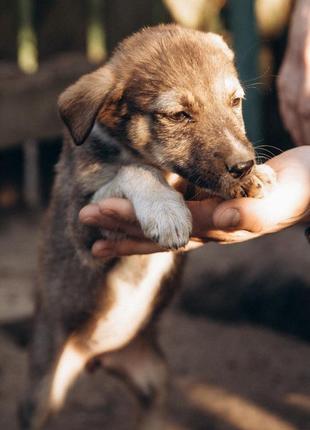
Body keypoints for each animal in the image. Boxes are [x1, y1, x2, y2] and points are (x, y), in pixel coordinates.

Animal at [18, 25, 274, 428]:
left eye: (235, 101)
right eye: (179, 115)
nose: (243, 165)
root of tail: (97, 358)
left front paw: (255, 176)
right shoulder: (82, 223)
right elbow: (134, 171)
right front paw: (165, 209)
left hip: (154, 378)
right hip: (42, 389)